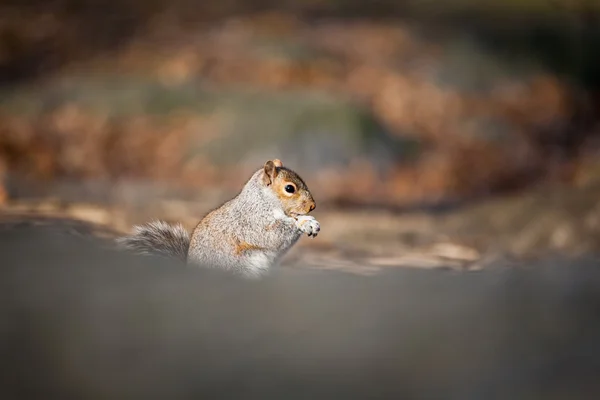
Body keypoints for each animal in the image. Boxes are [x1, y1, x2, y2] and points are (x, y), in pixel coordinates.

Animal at [118, 159, 324, 278]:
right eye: (289, 188)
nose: (312, 206)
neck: (263, 201)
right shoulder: (253, 221)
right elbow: (272, 235)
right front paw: (305, 223)